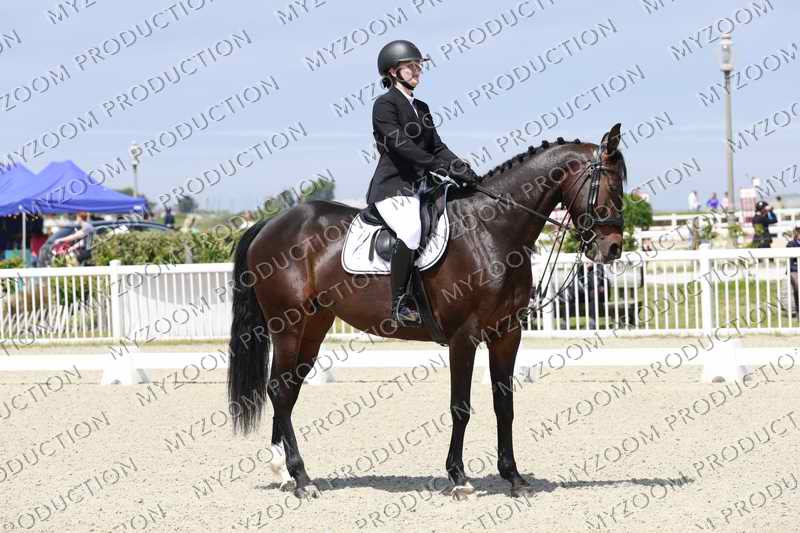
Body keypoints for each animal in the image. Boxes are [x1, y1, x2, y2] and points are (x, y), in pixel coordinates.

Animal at [227, 123, 627, 499]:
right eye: (611, 184)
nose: (612, 249)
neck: (491, 230)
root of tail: (273, 223)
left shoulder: (506, 333)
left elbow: (505, 404)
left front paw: (513, 476)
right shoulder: (464, 336)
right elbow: (460, 406)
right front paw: (458, 478)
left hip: (314, 325)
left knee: (290, 389)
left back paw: (283, 472)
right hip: (288, 325)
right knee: (279, 390)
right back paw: (302, 479)